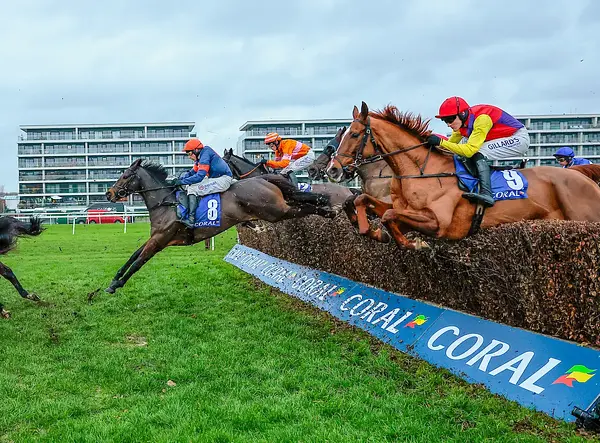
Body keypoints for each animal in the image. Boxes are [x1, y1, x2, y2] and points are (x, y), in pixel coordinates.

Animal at [104, 159, 336, 293]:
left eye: (125, 176)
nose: (109, 194)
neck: (167, 204)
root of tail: (264, 179)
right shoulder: (155, 238)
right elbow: (133, 255)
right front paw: (114, 280)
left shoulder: (160, 240)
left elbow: (138, 262)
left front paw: (117, 285)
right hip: (279, 208)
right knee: (304, 202)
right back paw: (327, 204)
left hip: (276, 212)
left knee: (305, 208)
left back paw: (329, 210)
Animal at [327, 101, 600, 249]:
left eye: (353, 134)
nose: (332, 170)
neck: (419, 171)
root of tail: (582, 176)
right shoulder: (402, 209)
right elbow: (364, 201)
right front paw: (371, 230)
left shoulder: (440, 224)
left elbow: (389, 215)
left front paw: (414, 243)